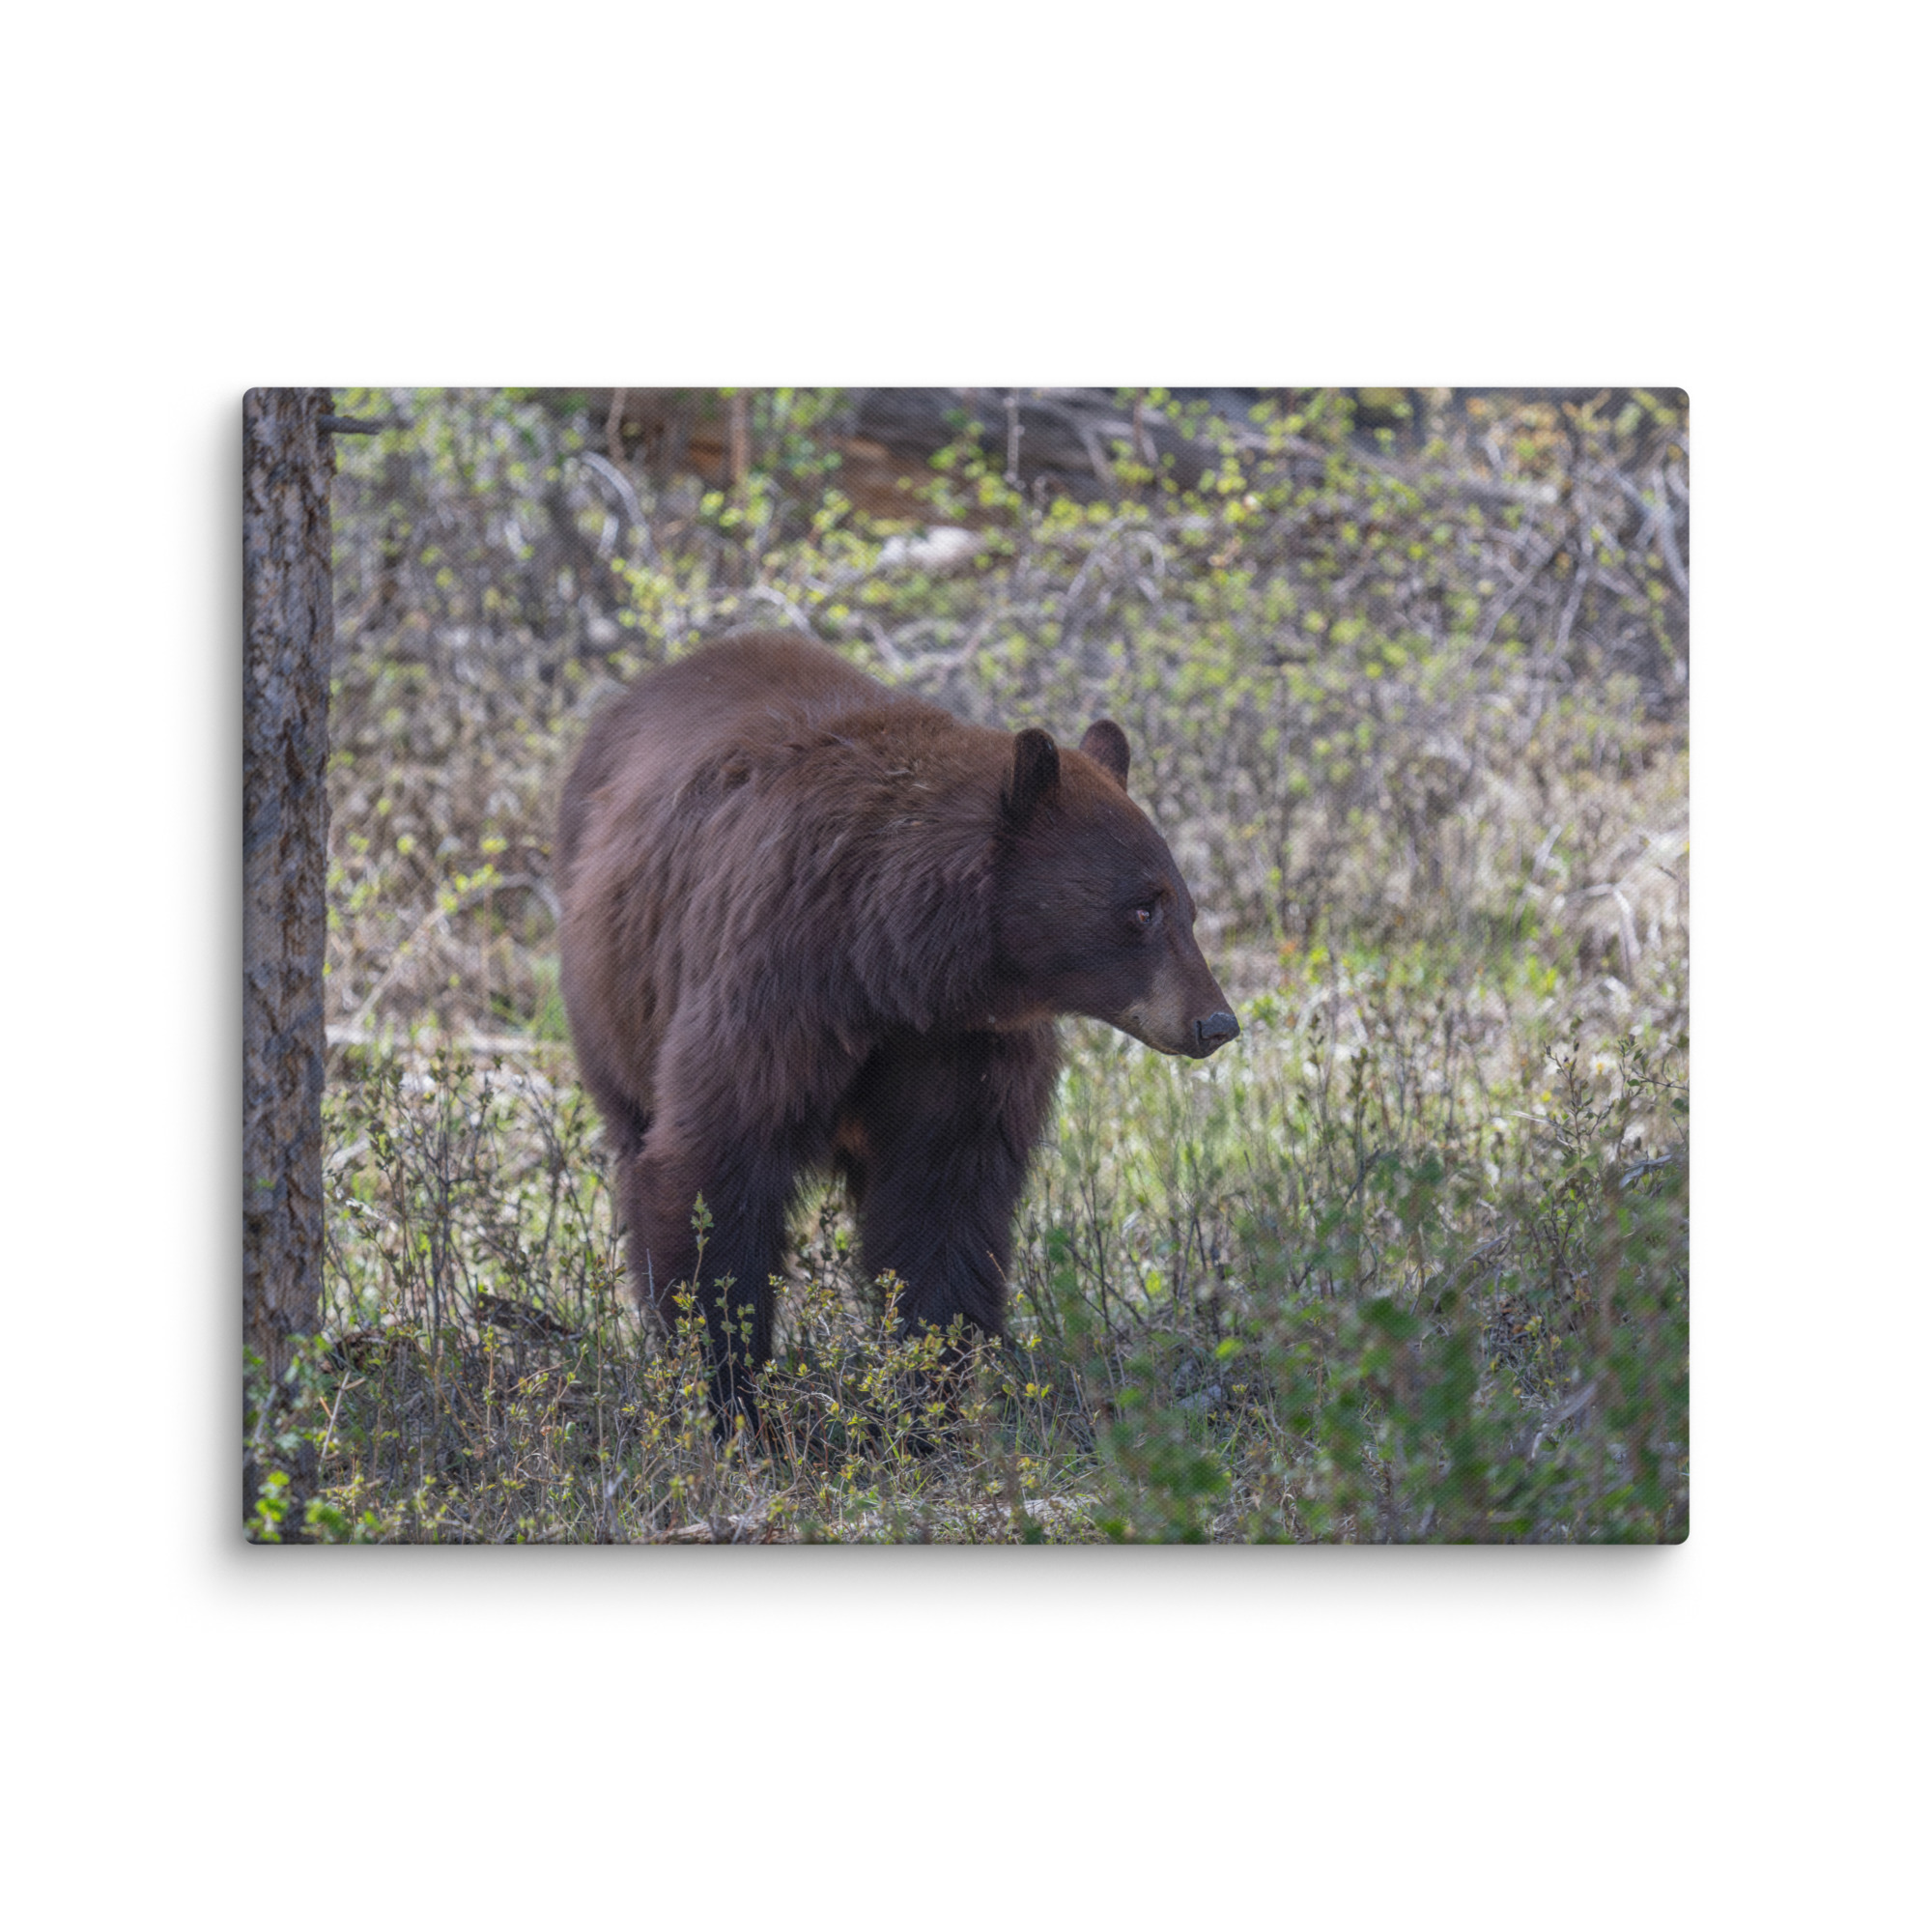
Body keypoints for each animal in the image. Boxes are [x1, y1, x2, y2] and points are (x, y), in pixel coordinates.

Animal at [556, 630, 1238, 1426]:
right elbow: (715, 1164)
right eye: (1140, 909)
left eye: (1186, 907)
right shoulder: (775, 985)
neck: (891, 963)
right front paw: (730, 1395)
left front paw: (927, 1401)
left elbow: (944, 1199)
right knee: (636, 1141)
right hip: (613, 1000)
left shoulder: (964, 1045)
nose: (1215, 1022)